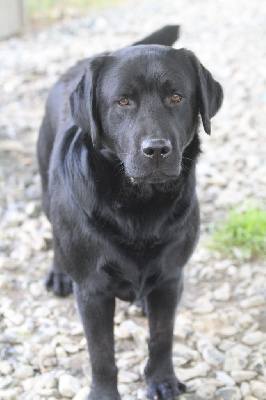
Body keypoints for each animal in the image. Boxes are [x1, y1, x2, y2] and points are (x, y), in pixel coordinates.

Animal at [37, 25, 223, 400]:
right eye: (123, 101)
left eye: (176, 97)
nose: (157, 150)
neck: (139, 205)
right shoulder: (92, 291)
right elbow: (102, 354)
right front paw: (105, 394)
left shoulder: (171, 277)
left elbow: (162, 337)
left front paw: (162, 381)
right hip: (48, 191)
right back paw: (59, 274)